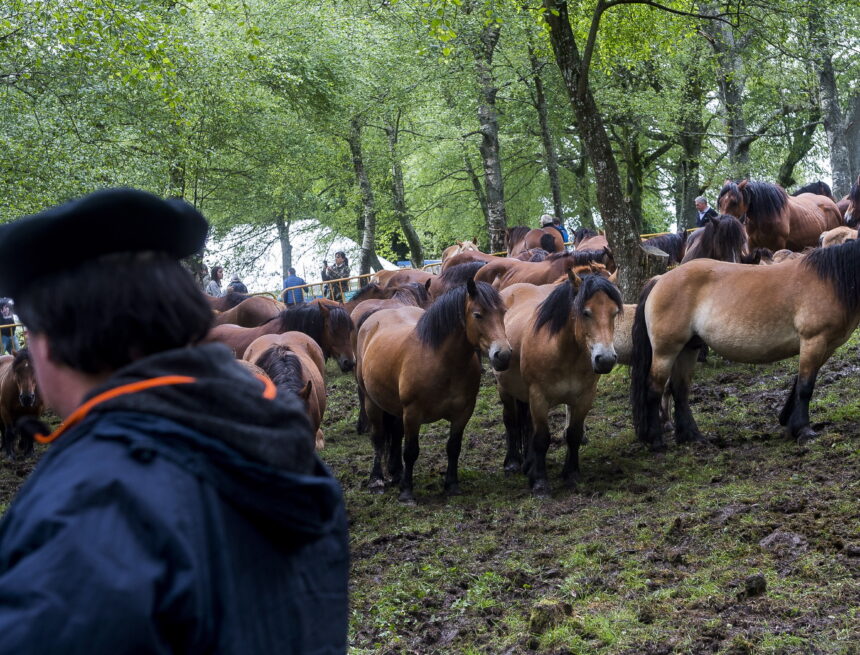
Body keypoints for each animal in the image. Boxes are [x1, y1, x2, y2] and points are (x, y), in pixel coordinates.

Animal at [356, 280, 510, 504]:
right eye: (478, 314)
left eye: (503, 312)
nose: (504, 355)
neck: (440, 360)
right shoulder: (413, 413)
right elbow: (411, 451)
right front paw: (407, 492)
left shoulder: (463, 412)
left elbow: (453, 447)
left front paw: (451, 485)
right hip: (371, 402)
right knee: (378, 438)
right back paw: (376, 481)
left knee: (395, 433)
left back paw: (396, 473)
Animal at [494, 274, 620, 494]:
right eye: (586, 312)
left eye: (614, 312)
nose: (605, 359)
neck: (564, 353)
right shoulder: (539, 397)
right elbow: (542, 438)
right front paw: (540, 482)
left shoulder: (584, 398)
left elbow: (574, 434)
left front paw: (571, 474)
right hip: (506, 389)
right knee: (510, 421)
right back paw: (513, 463)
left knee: (527, 424)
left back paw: (528, 463)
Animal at [632, 240, 860, 452]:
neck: (831, 281)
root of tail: (660, 279)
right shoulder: (813, 341)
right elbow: (805, 387)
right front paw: (804, 430)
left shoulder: (826, 346)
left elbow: (798, 384)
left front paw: (789, 423)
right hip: (665, 351)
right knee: (654, 389)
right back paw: (656, 440)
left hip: (688, 349)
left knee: (679, 389)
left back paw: (693, 436)